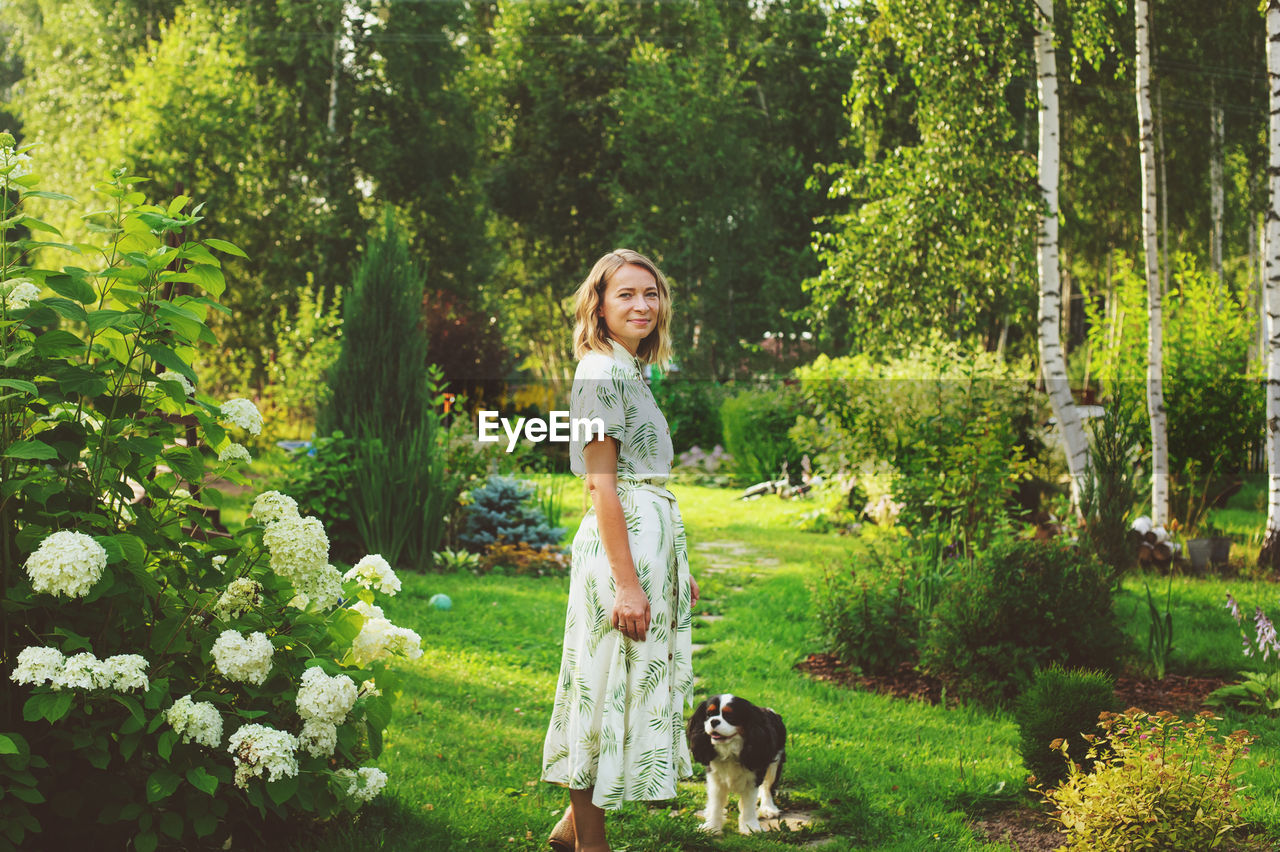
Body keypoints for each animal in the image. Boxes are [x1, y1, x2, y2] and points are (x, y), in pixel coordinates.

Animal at [686, 690, 783, 828]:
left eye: (730, 716)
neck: (730, 751)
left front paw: (750, 827)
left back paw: (768, 808)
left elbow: (748, 804)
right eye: (708, 715)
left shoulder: (753, 777)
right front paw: (712, 827)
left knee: (767, 786)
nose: (713, 721)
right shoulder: (714, 778)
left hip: (775, 764)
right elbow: (716, 803)